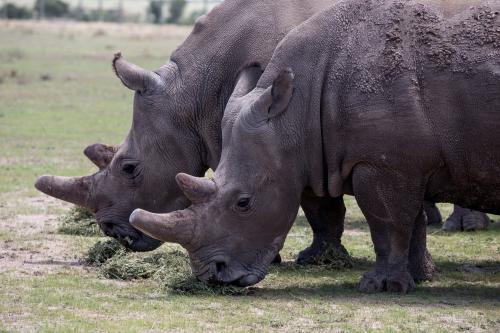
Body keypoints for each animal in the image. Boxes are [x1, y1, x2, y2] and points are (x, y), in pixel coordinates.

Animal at [130, 0, 500, 290]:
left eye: (244, 203)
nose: (212, 276)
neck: (296, 108)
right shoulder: (386, 160)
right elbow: (398, 220)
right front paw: (417, 277)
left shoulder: (385, 164)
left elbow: (388, 223)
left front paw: (381, 286)